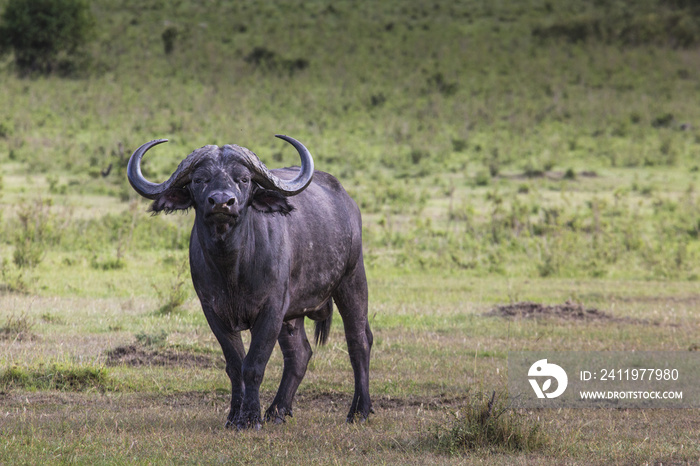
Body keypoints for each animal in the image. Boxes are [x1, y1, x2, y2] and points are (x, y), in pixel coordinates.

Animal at [129, 135, 374, 430]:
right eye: (200, 179)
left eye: (243, 179)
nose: (222, 202)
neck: (233, 268)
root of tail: (348, 202)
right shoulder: (213, 311)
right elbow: (235, 365)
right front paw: (235, 415)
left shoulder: (271, 309)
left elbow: (254, 364)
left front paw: (250, 417)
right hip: (293, 314)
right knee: (299, 354)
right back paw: (277, 410)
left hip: (352, 279)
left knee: (359, 341)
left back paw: (359, 410)